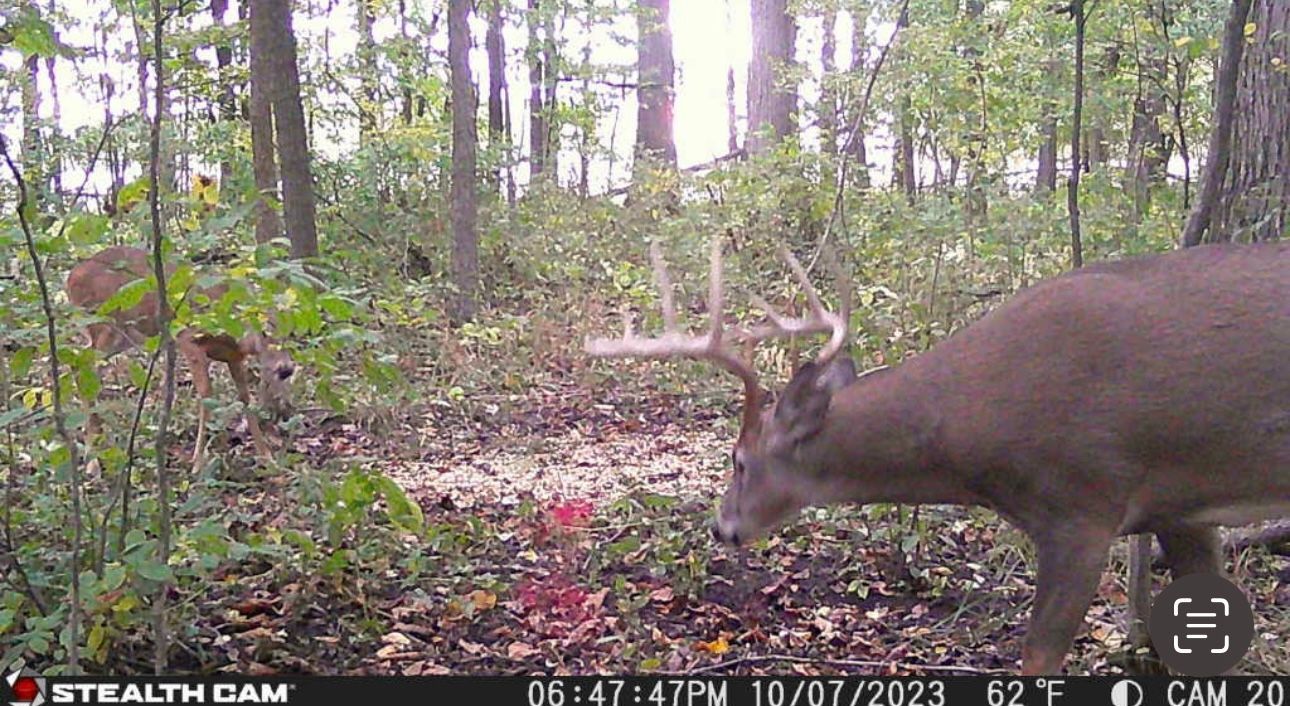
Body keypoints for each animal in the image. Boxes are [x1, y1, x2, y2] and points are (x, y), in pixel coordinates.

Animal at [66, 246, 296, 470]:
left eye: (291, 333)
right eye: (265, 332)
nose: (286, 369)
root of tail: (70, 279)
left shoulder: (234, 358)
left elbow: (245, 398)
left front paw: (267, 456)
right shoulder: (188, 339)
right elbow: (206, 393)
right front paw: (198, 462)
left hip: (123, 336)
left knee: (80, 367)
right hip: (103, 323)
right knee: (82, 365)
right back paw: (92, 461)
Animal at [585, 237, 1290, 675]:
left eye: (738, 459)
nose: (721, 525)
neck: (974, 430)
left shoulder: (1084, 506)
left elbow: (1036, 660)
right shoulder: (1183, 509)